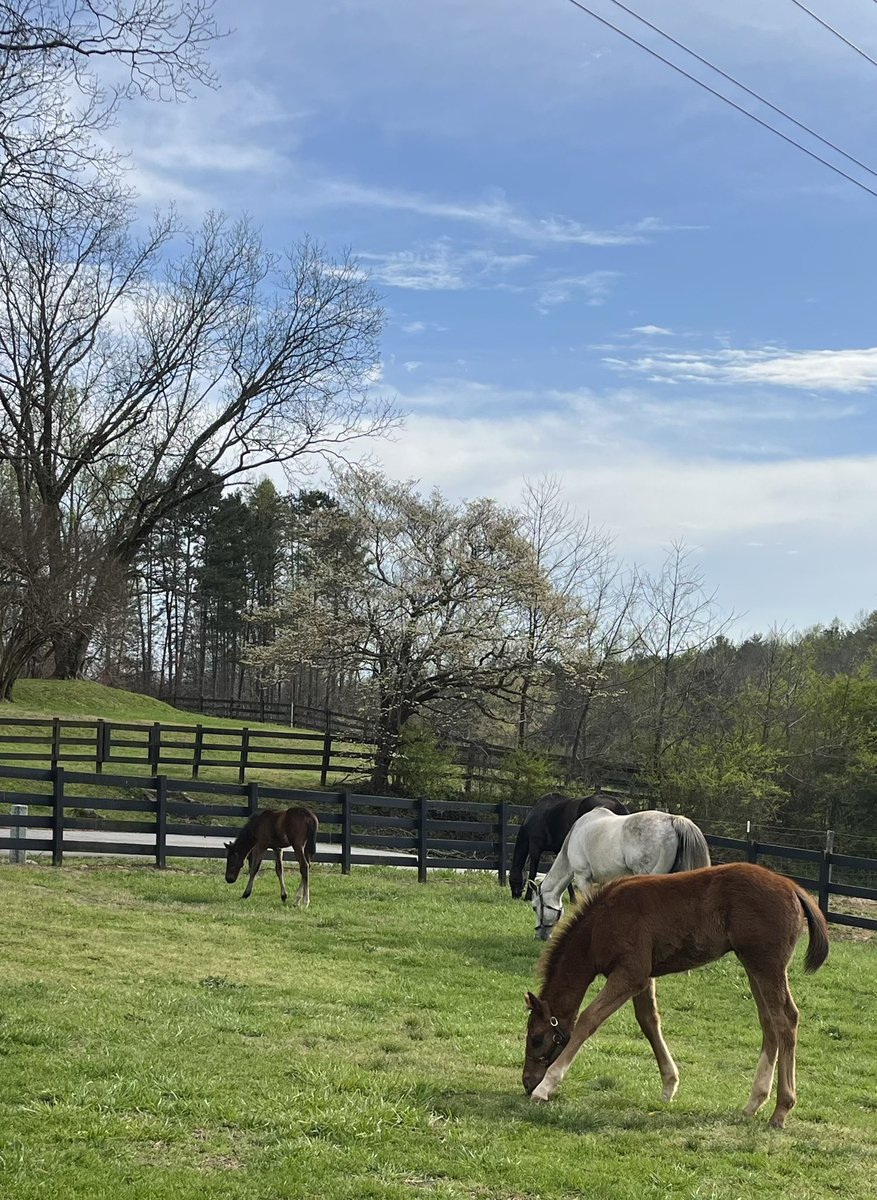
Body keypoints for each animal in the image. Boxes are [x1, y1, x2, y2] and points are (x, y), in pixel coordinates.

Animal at [522, 862, 829, 1128]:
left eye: (536, 1039)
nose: (527, 1082)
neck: (599, 925)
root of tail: (794, 888)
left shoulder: (630, 974)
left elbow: (587, 1021)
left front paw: (546, 1086)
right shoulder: (643, 976)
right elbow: (648, 1020)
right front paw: (669, 1085)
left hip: (767, 965)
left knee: (786, 1019)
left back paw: (781, 1111)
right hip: (753, 965)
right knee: (769, 1022)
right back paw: (754, 1103)